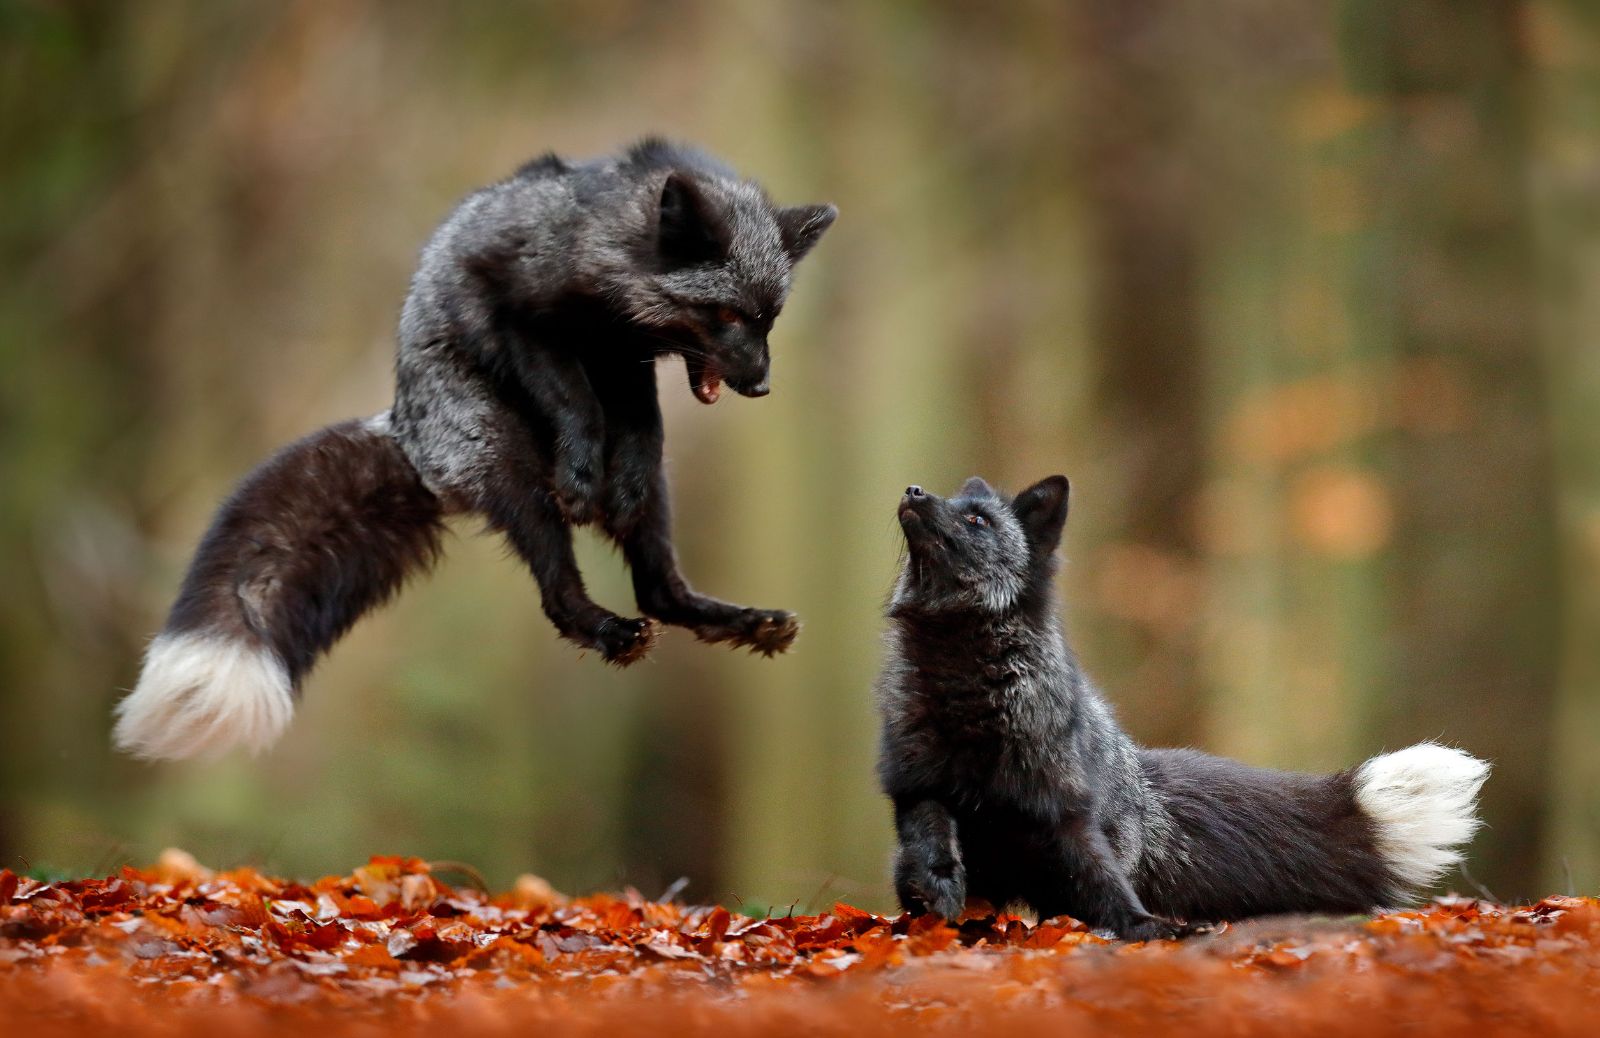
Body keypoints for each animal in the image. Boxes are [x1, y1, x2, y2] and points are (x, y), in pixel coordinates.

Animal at [112, 137, 838, 758]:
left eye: (769, 319)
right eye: (726, 316)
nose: (761, 385)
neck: (600, 246)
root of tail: (404, 428)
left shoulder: (625, 367)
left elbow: (639, 429)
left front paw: (614, 478)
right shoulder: (523, 320)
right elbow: (576, 403)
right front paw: (581, 473)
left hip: (657, 493)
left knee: (660, 588)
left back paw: (743, 621)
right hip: (511, 472)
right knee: (559, 597)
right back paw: (603, 626)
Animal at [876, 476, 1484, 940]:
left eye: (977, 519)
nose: (912, 490)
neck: (965, 687)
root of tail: (1140, 777)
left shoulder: (1065, 811)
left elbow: (1107, 887)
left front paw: (1147, 929)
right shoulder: (916, 784)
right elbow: (932, 833)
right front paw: (939, 887)